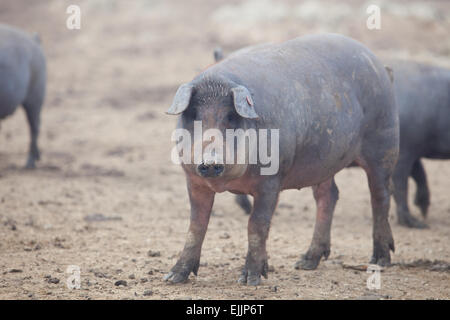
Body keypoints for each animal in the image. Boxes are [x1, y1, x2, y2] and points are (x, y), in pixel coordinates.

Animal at [163, 34, 400, 284]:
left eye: (230, 116)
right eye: (194, 115)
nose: (210, 162)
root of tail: (382, 67)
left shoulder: (271, 180)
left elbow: (256, 225)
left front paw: (250, 279)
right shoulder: (194, 180)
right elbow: (196, 226)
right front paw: (173, 277)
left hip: (384, 141)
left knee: (381, 195)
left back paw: (379, 260)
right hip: (324, 162)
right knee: (329, 196)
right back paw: (305, 262)